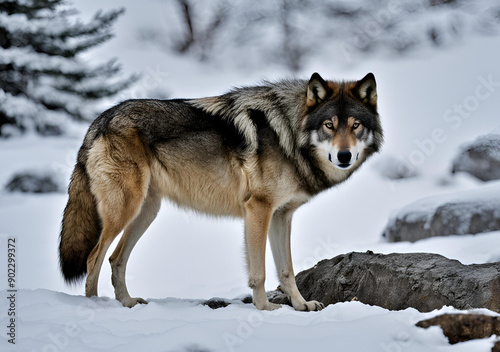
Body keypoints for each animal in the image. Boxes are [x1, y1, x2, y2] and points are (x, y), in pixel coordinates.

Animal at [60, 72, 384, 310]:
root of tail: (99, 120)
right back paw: (94, 307)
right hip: (125, 209)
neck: (290, 134)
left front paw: (301, 305)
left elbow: (287, 270)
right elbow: (259, 271)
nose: (344, 156)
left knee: (116, 259)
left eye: (355, 125)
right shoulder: (258, 209)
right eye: (329, 125)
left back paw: (127, 302)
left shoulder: (281, 216)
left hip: (146, 212)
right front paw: (265, 309)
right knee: (93, 258)